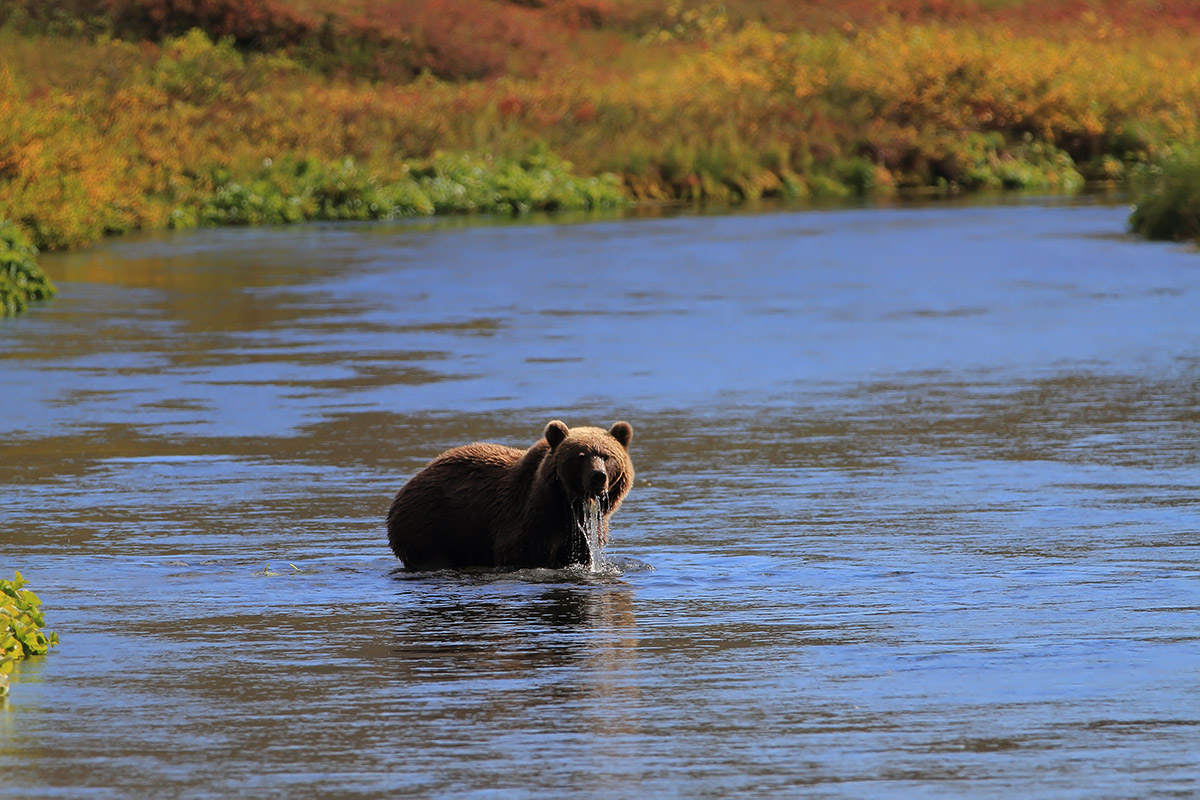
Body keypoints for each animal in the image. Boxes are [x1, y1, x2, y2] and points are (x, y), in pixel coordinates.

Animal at [388, 419, 638, 568]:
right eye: (581, 456)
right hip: (430, 525)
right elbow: (521, 552)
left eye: (607, 456)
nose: (598, 476)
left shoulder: (585, 530)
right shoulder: (527, 519)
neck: (566, 504)